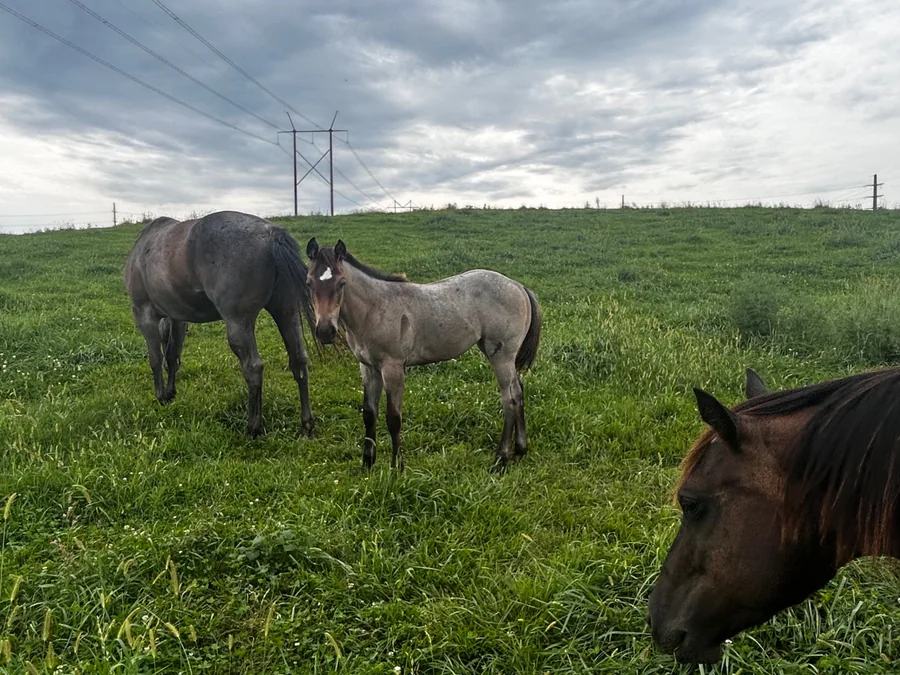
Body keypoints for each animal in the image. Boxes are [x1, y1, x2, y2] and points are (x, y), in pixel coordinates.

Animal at [124, 211, 318, 438]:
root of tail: (271, 235)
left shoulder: (144, 315)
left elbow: (155, 359)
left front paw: (161, 396)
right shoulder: (178, 318)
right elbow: (172, 356)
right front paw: (170, 393)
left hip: (239, 324)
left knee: (253, 367)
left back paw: (253, 427)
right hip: (287, 313)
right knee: (299, 360)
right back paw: (306, 423)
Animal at [304, 238, 542, 472]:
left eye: (341, 283)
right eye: (309, 283)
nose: (325, 331)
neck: (374, 309)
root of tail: (519, 286)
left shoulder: (393, 368)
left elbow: (393, 418)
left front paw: (396, 468)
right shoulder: (368, 367)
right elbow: (369, 414)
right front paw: (367, 465)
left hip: (501, 355)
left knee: (510, 399)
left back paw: (501, 459)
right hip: (501, 354)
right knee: (518, 391)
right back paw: (520, 450)